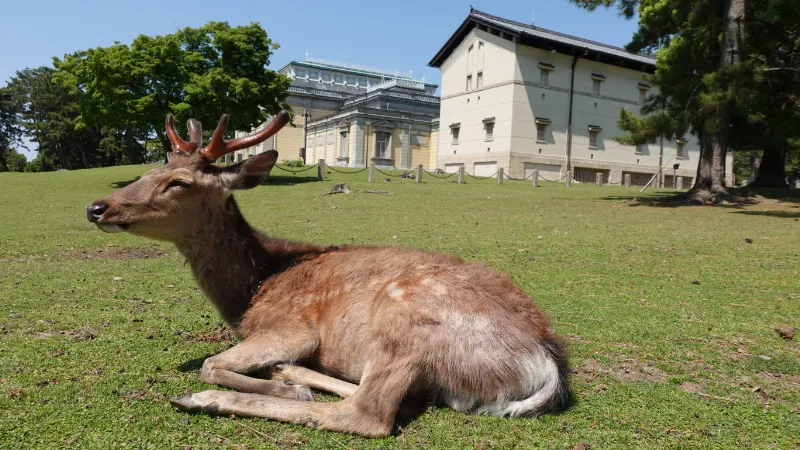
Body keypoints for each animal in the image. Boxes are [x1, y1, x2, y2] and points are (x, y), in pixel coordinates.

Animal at [85, 110, 570, 437]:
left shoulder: (290, 328)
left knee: (370, 414)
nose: (96, 207)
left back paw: (212, 399)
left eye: (179, 183)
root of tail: (545, 362)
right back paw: (289, 374)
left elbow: (209, 364)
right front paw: (287, 379)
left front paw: (261, 388)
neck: (253, 288)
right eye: (150, 170)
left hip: (403, 319)